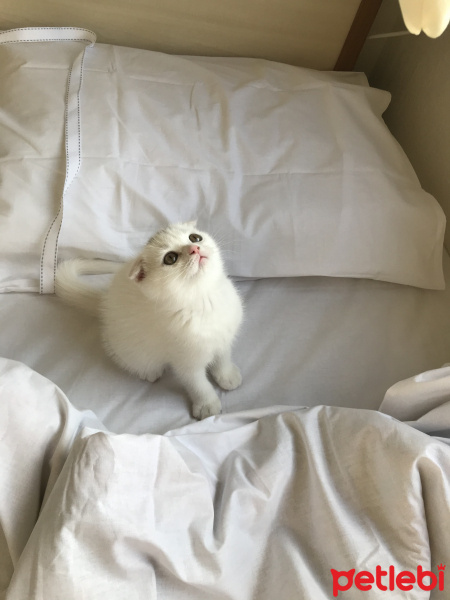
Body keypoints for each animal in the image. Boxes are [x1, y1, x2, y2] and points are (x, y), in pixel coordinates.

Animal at [55, 223, 244, 420]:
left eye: (195, 237)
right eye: (170, 258)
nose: (195, 248)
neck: (205, 301)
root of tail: (104, 301)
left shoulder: (224, 338)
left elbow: (223, 358)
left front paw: (227, 375)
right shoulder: (185, 361)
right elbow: (198, 384)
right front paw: (207, 404)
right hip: (129, 349)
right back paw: (149, 373)